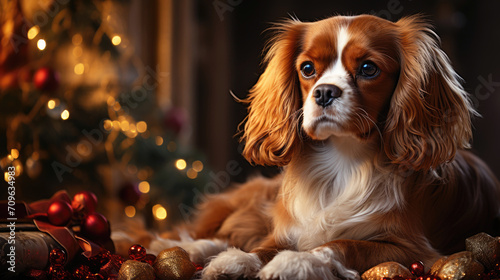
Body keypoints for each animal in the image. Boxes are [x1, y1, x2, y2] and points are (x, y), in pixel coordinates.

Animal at [153, 14, 500, 278]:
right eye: (307, 69)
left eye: (368, 68)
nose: (324, 92)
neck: (342, 160)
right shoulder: (284, 229)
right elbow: (263, 247)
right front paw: (240, 260)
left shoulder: (414, 250)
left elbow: (343, 244)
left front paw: (296, 261)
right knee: (224, 233)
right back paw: (186, 247)